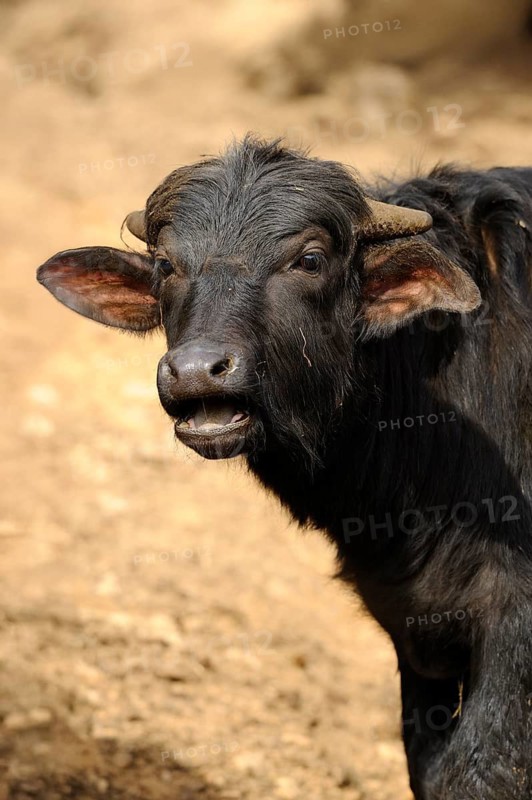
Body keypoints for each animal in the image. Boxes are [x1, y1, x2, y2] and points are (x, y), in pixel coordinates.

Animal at [36, 136, 532, 799]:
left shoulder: (513, 621)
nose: (196, 370)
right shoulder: (411, 624)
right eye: (167, 266)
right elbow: (429, 766)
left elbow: (481, 767)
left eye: (310, 259)